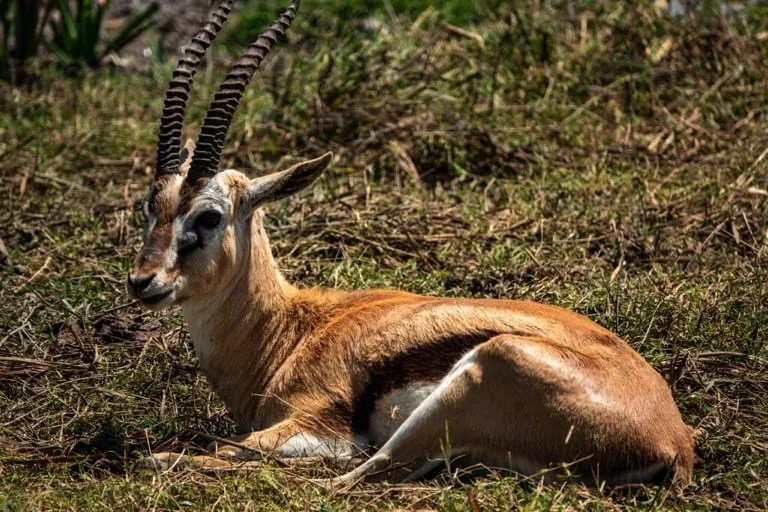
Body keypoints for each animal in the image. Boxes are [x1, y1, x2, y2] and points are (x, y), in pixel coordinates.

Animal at [127, 0, 694, 488]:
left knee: (353, 476)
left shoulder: (320, 424)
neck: (289, 332)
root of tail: (673, 441)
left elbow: (226, 447)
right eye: (149, 206)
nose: (142, 281)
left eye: (209, 216)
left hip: (463, 386)